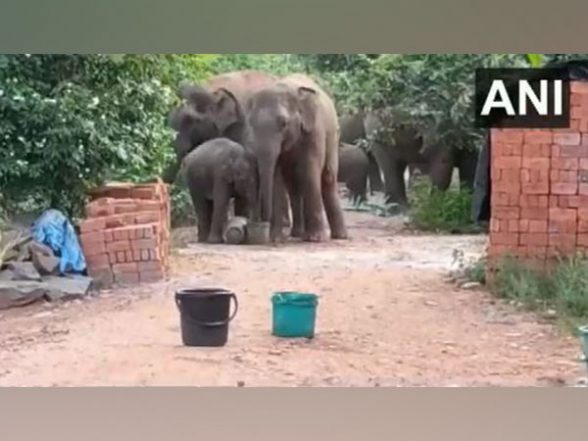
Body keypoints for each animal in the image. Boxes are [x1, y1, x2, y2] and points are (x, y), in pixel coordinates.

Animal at [245, 74, 346, 242]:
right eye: (252, 124)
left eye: (283, 123)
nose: (260, 224)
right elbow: (276, 176)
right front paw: (275, 238)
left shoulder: (315, 131)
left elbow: (310, 172)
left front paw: (315, 239)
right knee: (292, 184)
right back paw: (297, 234)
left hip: (333, 136)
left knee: (328, 178)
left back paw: (340, 236)